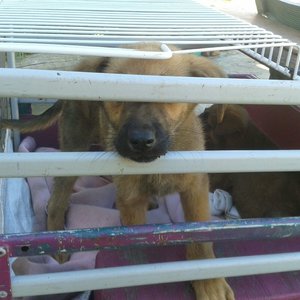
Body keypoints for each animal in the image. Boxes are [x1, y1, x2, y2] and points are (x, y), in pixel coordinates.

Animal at [1, 43, 234, 298]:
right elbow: (137, 243)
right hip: (73, 148)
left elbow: (201, 237)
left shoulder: (195, 189)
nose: (141, 141)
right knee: (56, 201)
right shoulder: (131, 201)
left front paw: (209, 282)